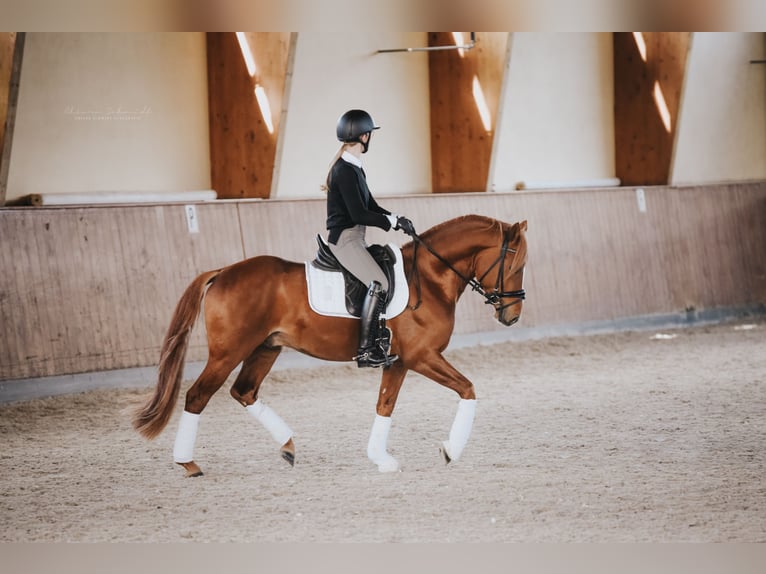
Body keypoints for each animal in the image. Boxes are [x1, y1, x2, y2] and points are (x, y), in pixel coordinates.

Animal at [134, 214, 528, 474]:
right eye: (516, 265)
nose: (512, 315)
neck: (429, 279)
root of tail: (221, 273)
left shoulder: (399, 361)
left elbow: (385, 406)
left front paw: (381, 459)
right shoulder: (422, 357)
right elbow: (468, 389)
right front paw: (450, 450)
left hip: (265, 348)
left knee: (243, 391)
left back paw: (288, 446)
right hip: (228, 352)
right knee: (197, 396)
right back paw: (188, 463)